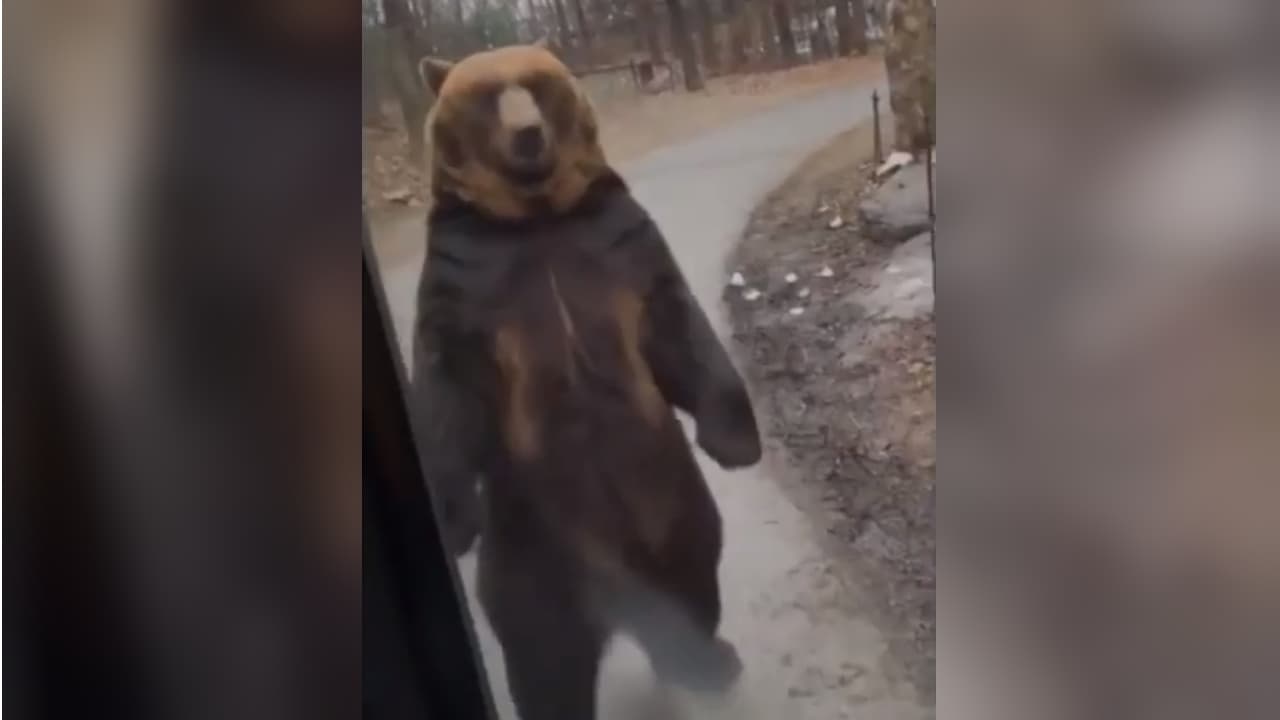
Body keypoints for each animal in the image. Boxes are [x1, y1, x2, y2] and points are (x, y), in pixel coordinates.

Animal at [408, 44, 763, 720]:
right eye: (487, 94)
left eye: (536, 84)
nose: (527, 134)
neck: (535, 217)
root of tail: (621, 606)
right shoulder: (466, 276)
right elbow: (444, 385)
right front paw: (451, 516)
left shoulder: (617, 240)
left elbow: (676, 324)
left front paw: (735, 442)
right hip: (529, 551)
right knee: (545, 654)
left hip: (675, 510)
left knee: (695, 580)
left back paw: (709, 660)